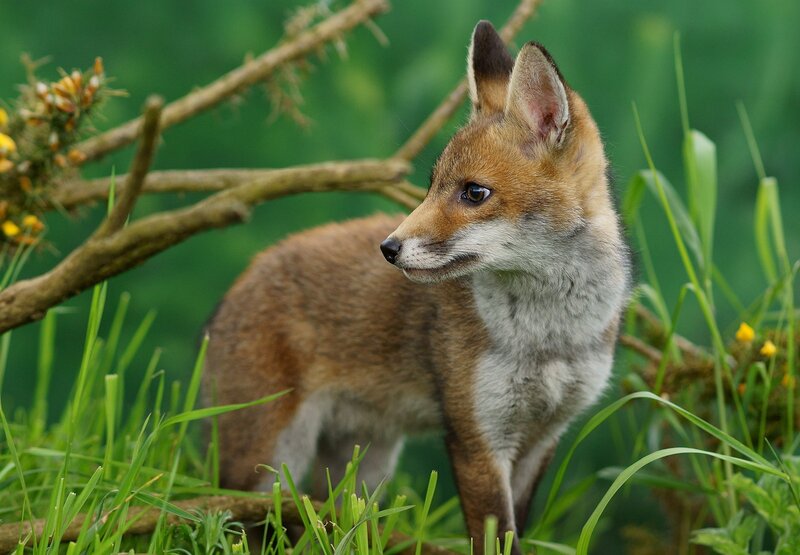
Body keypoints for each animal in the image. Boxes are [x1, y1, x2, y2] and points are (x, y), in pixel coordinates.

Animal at [204, 20, 630, 554]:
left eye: (474, 193)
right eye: (431, 185)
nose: (388, 248)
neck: (549, 338)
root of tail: (236, 285)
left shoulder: (542, 437)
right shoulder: (476, 439)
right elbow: (496, 536)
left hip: (361, 469)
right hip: (267, 464)